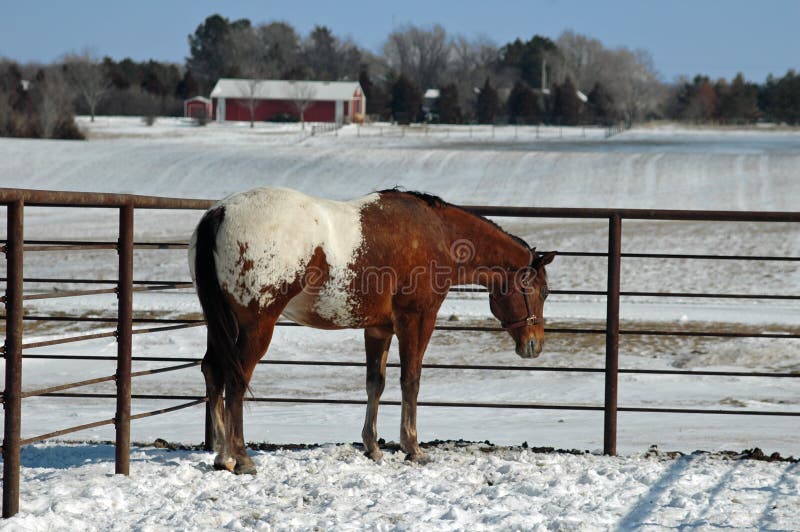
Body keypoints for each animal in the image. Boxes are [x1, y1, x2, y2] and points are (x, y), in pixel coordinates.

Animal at [191, 188, 556, 474]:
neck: (438, 234)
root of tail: (221, 213)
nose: (534, 345)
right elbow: (411, 381)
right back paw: (240, 457)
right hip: (256, 326)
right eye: (542, 291)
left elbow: (375, 384)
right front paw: (413, 448)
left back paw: (222, 456)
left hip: (222, 324)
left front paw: (373, 447)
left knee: (213, 372)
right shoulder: (417, 320)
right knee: (236, 381)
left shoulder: (379, 329)